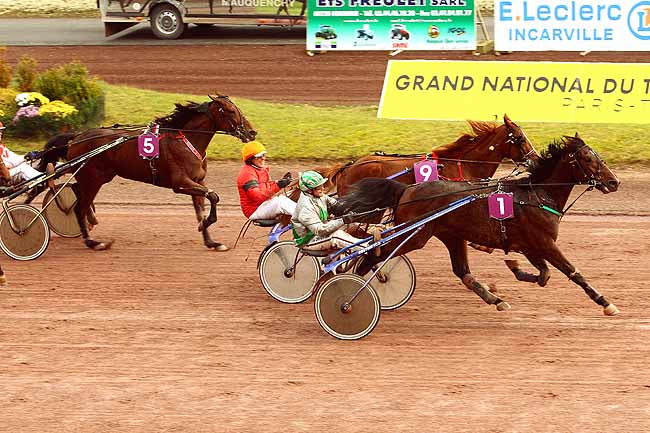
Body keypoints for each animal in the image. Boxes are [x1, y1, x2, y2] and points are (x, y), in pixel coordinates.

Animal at [36, 94, 256, 251]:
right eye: (230, 111)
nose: (252, 132)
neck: (186, 140)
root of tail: (77, 137)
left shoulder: (197, 181)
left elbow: (200, 210)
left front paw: (211, 241)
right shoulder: (181, 183)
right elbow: (214, 196)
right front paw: (207, 225)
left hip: (98, 177)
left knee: (75, 190)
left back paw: (90, 221)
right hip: (93, 179)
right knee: (79, 207)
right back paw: (93, 242)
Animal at [338, 134, 621, 316]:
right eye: (588, 159)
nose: (614, 182)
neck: (536, 195)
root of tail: (406, 189)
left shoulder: (530, 245)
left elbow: (543, 275)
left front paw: (514, 267)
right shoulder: (545, 243)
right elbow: (572, 272)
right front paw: (606, 302)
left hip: (451, 236)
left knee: (462, 272)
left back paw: (496, 299)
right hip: (415, 235)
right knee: (373, 256)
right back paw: (353, 291)